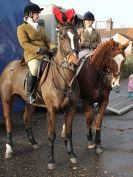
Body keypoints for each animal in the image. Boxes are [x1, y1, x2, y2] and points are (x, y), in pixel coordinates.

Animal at [0, 24, 80, 170]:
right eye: (62, 37)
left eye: (77, 36)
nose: (74, 61)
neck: (64, 79)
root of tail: (9, 66)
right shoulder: (52, 110)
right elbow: (51, 135)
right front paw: (51, 160)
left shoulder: (71, 108)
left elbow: (68, 132)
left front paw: (72, 155)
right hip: (7, 100)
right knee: (9, 121)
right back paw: (9, 149)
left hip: (30, 103)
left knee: (26, 119)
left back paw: (33, 142)